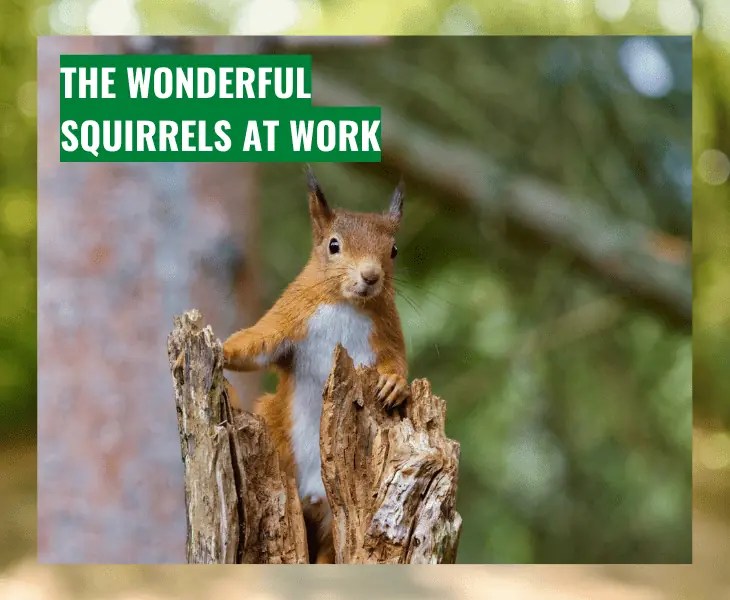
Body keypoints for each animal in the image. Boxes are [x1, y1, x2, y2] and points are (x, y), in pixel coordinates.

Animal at [222, 167, 409, 563]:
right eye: (333, 245)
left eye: (394, 250)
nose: (371, 276)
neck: (345, 303)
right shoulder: (289, 318)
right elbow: (258, 344)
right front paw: (222, 348)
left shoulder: (387, 335)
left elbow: (397, 362)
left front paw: (394, 384)